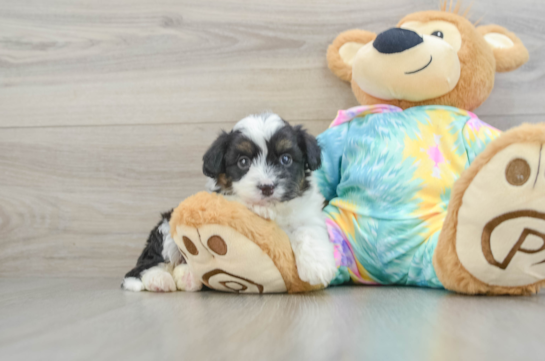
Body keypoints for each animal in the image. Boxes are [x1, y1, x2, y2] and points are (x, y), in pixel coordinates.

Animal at [122, 112, 336, 290]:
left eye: (286, 159)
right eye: (243, 162)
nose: (267, 187)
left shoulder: (307, 213)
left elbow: (309, 230)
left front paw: (317, 267)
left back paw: (189, 277)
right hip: (167, 227)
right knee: (150, 263)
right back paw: (157, 280)